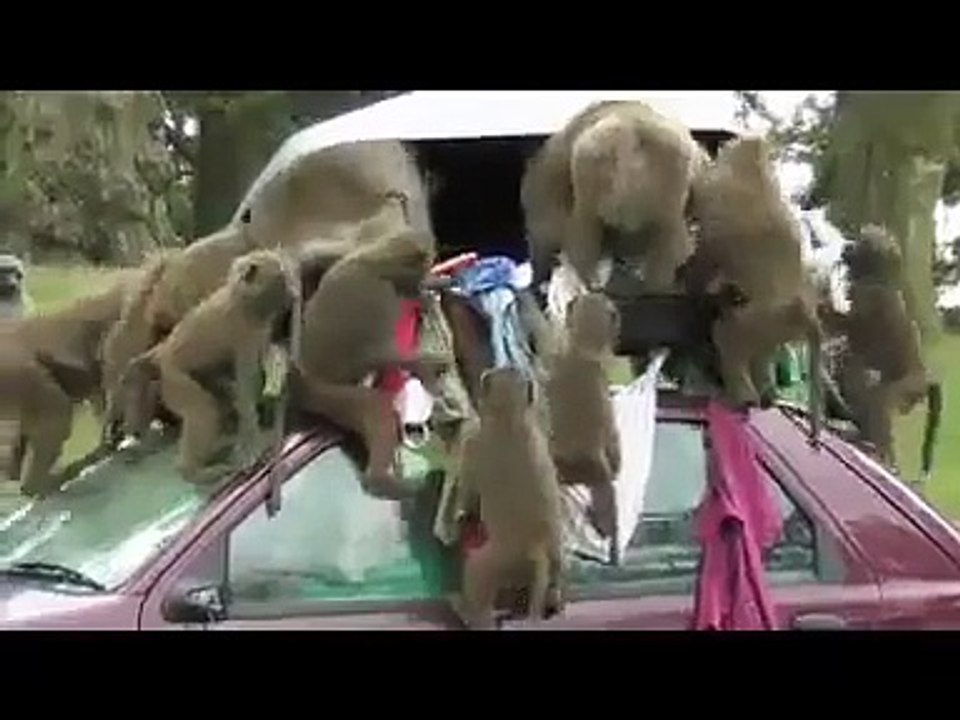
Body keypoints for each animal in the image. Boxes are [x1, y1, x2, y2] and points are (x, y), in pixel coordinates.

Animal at [122, 250, 296, 484]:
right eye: (281, 277)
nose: (293, 293)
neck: (242, 299)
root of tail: (162, 354)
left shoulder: (258, 329)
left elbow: (263, 359)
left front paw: (277, 371)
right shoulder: (244, 333)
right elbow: (246, 387)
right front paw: (250, 445)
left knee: (219, 393)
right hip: (175, 379)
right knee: (202, 410)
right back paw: (193, 471)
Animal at [294, 228, 453, 500]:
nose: (424, 280)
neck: (379, 262)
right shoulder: (379, 296)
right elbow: (379, 355)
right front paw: (430, 366)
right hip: (328, 394)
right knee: (378, 410)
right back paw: (381, 482)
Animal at [451, 366, 564, 630]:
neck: (511, 418)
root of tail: (537, 549)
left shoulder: (474, 444)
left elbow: (467, 488)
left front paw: (462, 512)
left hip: (494, 561)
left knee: (476, 576)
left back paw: (468, 611)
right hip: (556, 556)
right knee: (554, 580)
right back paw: (551, 602)